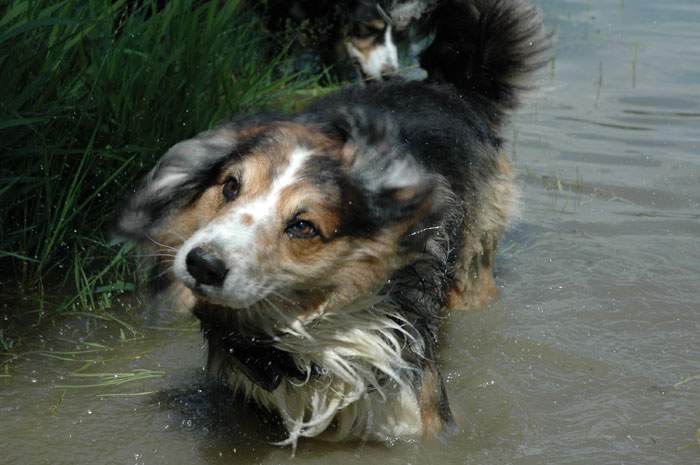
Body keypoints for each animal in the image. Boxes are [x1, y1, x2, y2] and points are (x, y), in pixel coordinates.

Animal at [119, 0, 548, 450]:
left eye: (303, 226)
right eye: (231, 186)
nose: (201, 264)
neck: (314, 331)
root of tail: (445, 88)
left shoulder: (416, 402)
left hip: (472, 265)